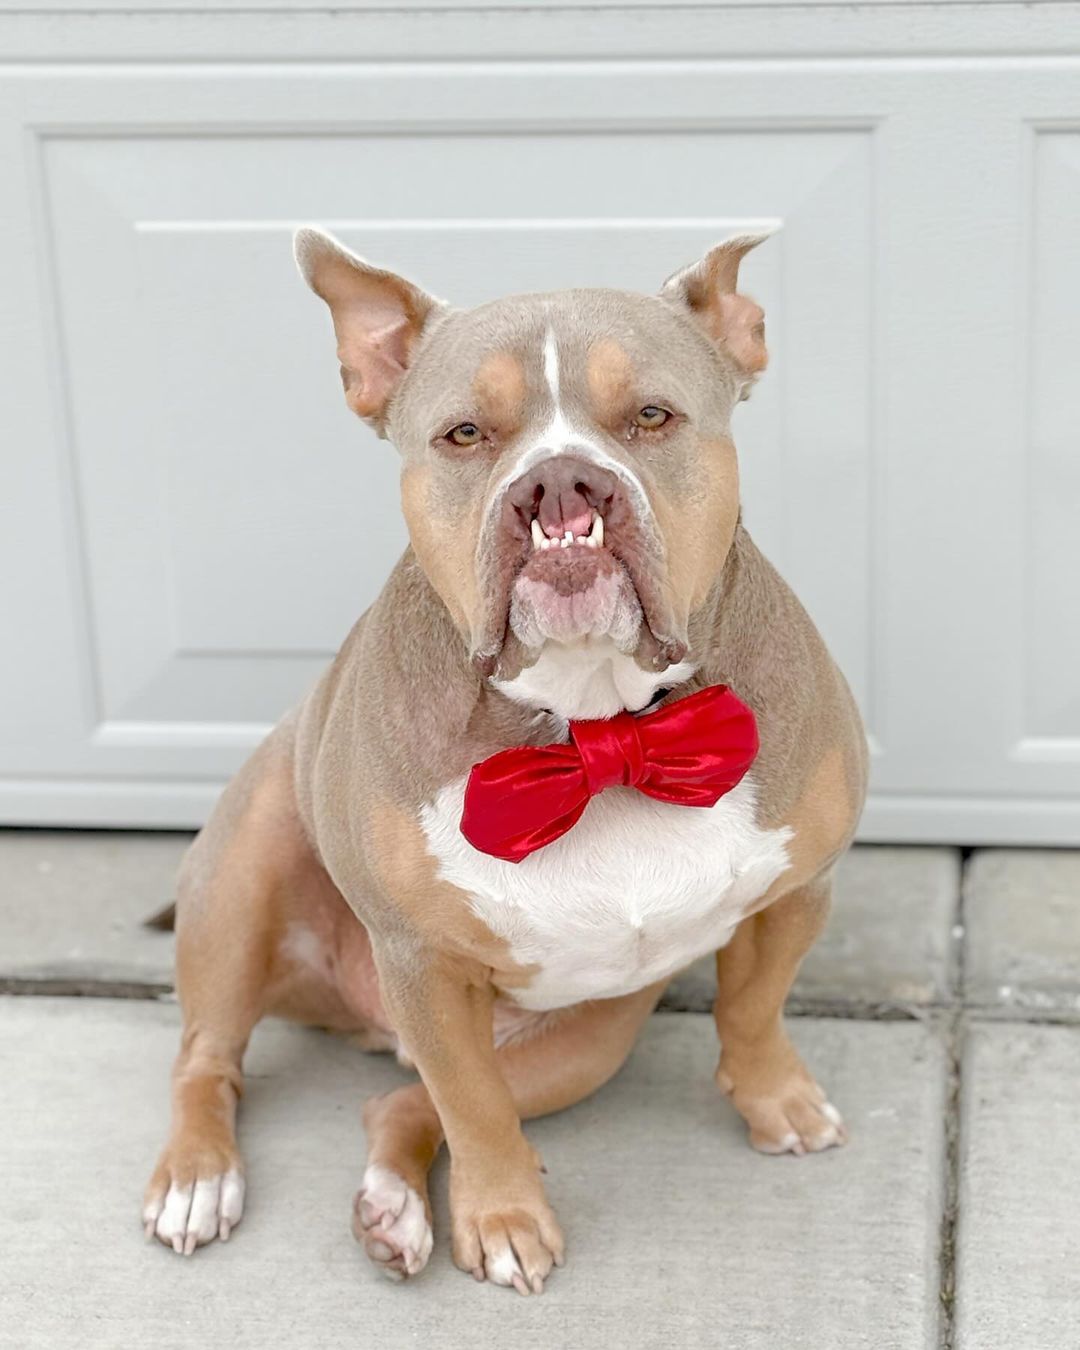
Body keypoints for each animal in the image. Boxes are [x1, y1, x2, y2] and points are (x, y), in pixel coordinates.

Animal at [143, 226, 869, 1290]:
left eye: (652, 415)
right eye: (462, 435)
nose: (561, 485)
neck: (595, 725)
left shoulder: (796, 891)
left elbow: (754, 1007)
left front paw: (777, 1100)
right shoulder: (424, 963)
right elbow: (476, 1109)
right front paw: (504, 1220)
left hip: (588, 1043)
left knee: (400, 1104)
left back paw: (392, 1206)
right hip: (241, 881)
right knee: (212, 1060)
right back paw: (199, 1179)